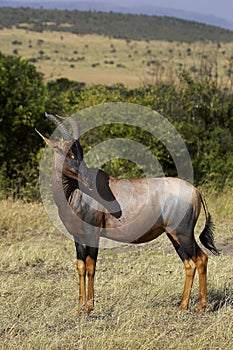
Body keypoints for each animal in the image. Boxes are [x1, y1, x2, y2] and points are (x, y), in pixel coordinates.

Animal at [36, 113, 218, 316]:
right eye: (67, 152)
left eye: (80, 151)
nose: (89, 180)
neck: (75, 193)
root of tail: (196, 191)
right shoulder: (78, 236)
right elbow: (81, 266)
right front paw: (79, 309)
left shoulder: (93, 234)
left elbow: (91, 266)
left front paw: (89, 309)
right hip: (173, 235)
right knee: (189, 264)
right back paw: (182, 306)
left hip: (184, 233)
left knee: (201, 259)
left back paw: (200, 308)